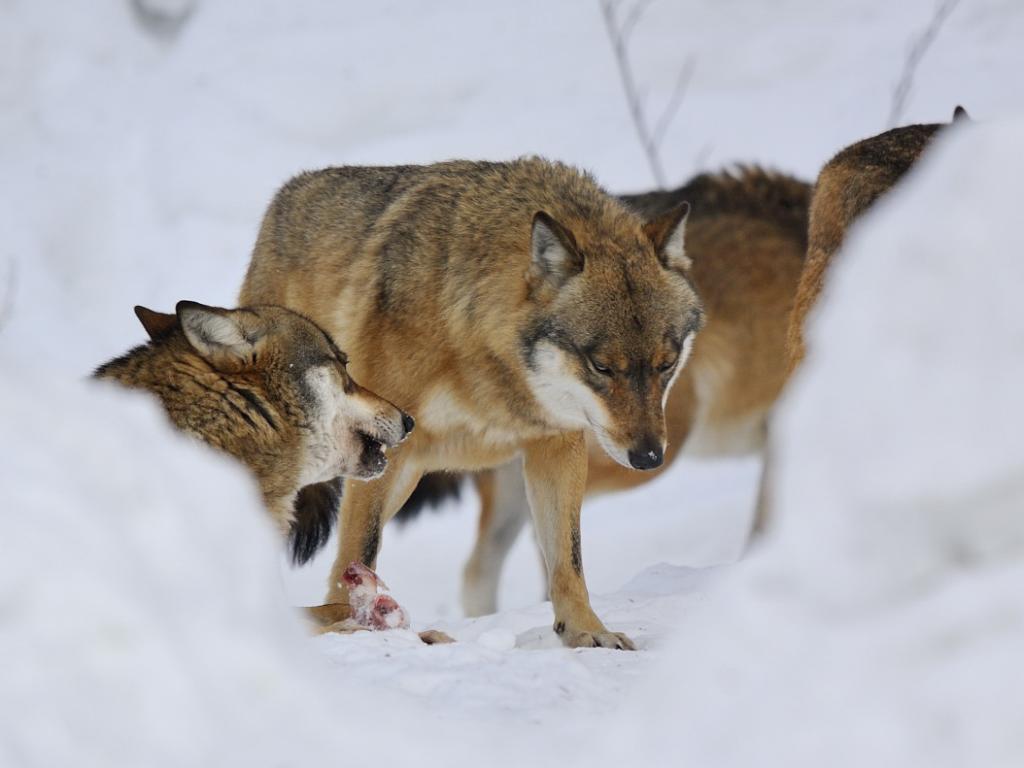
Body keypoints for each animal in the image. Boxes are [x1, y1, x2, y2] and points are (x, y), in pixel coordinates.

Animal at [239, 157, 701, 649]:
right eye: (602, 367)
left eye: (666, 364)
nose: (649, 458)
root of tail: (288, 193)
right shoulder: (386, 450)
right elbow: (358, 552)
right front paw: (358, 629)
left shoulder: (557, 445)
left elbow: (569, 559)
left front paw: (587, 632)